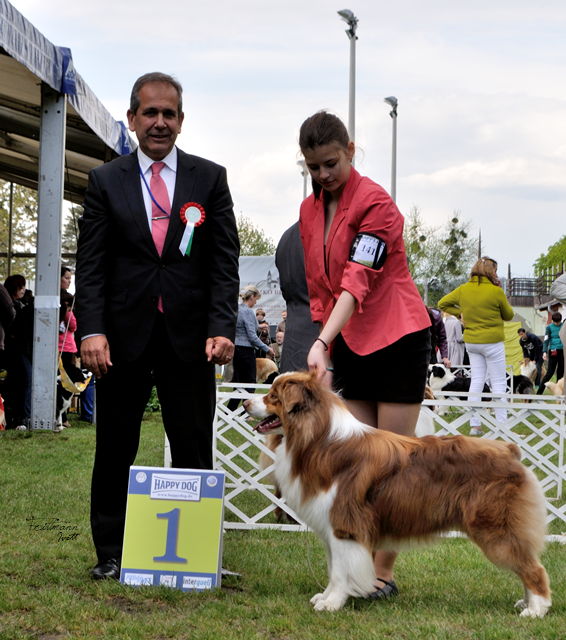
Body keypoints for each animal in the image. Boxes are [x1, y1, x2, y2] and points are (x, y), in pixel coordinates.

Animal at [245, 372, 556, 616]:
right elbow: (334, 568)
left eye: (273, 396)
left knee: (534, 568)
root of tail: (510, 451)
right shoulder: (334, 528)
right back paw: (525, 603)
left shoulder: (345, 525)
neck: (319, 438)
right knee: (526, 564)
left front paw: (332, 604)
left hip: (495, 529)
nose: (246, 402)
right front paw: (327, 596)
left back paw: (536, 610)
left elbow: (341, 571)